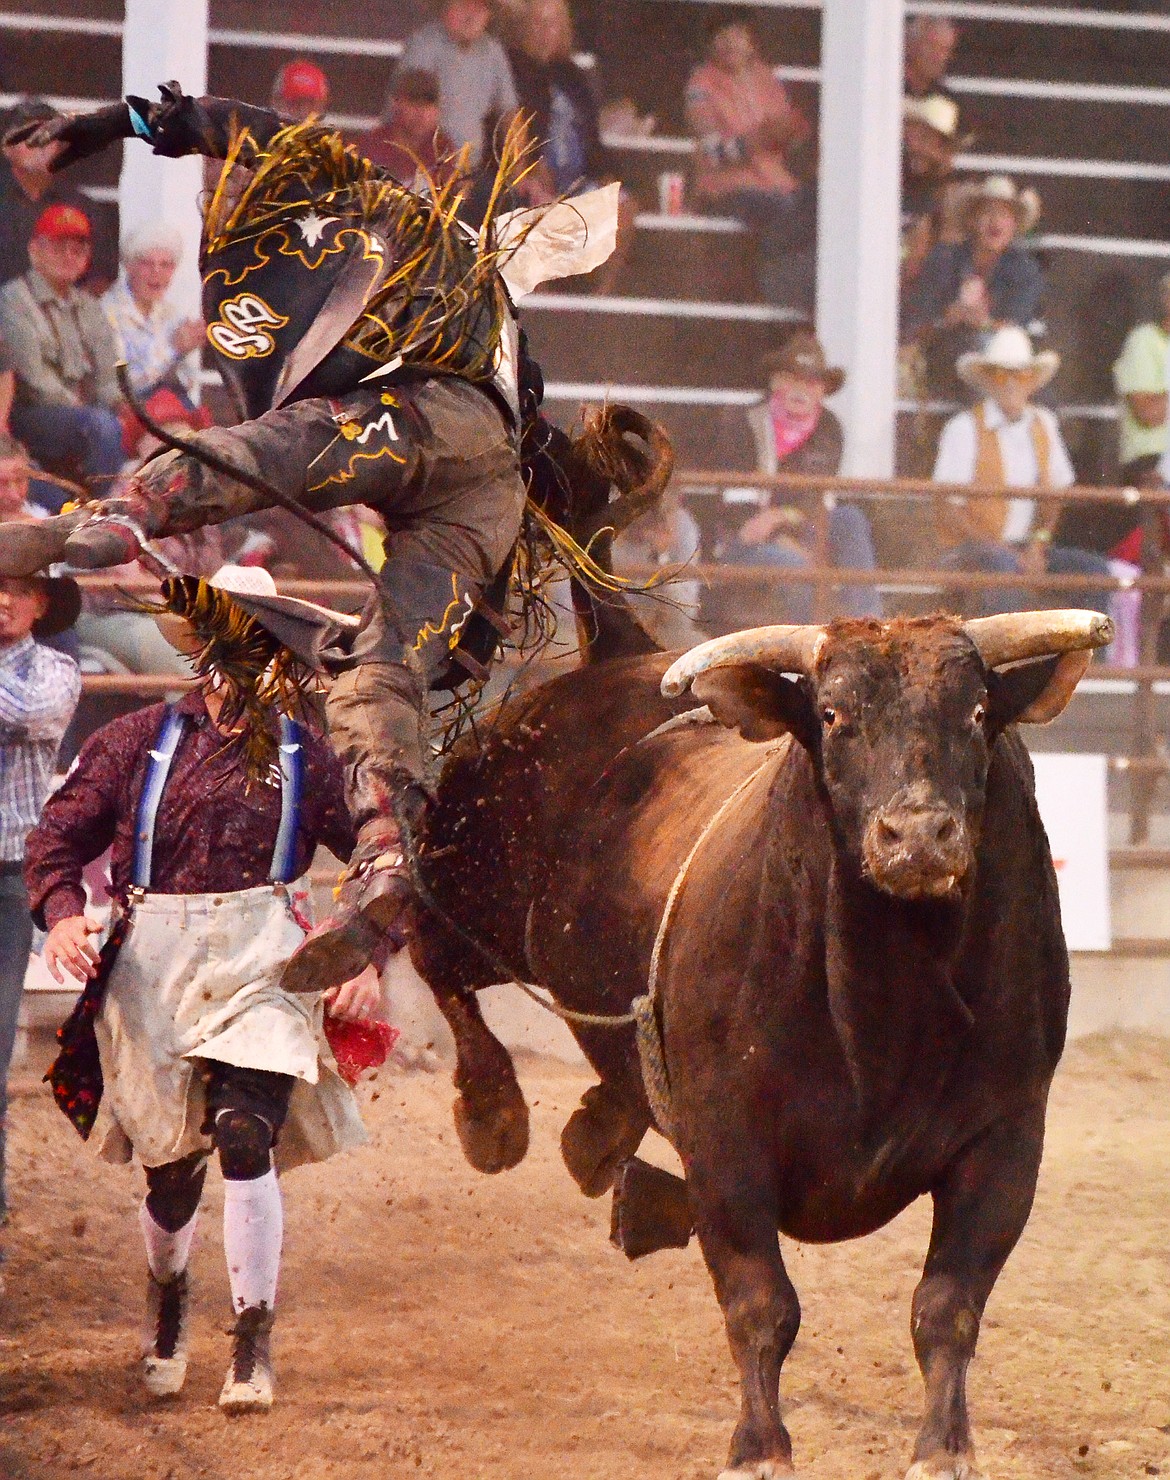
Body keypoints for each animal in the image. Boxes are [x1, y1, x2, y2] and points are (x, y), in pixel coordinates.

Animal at [414, 603, 1118, 1480]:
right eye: (834, 716)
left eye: (978, 712)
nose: (918, 836)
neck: (888, 1006)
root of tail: (609, 655)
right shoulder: (727, 1144)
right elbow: (760, 1304)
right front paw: (759, 1448)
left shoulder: (1006, 1138)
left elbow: (947, 1305)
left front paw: (943, 1446)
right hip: (462, 880)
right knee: (420, 942)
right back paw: (492, 1111)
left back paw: (598, 1130)